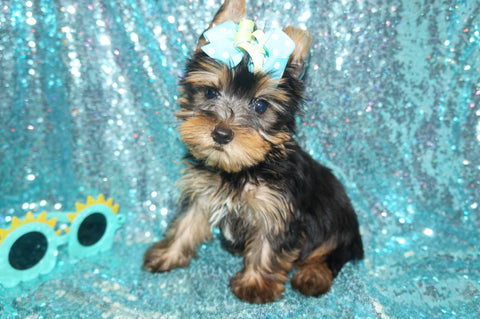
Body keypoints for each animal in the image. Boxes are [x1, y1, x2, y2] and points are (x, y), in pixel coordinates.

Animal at [144, 0, 362, 304]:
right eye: (210, 92)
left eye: (260, 106)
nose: (221, 134)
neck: (240, 169)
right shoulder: (201, 192)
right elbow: (186, 223)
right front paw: (168, 253)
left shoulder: (277, 210)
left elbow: (268, 246)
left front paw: (255, 285)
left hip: (339, 222)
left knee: (330, 254)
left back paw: (312, 275)